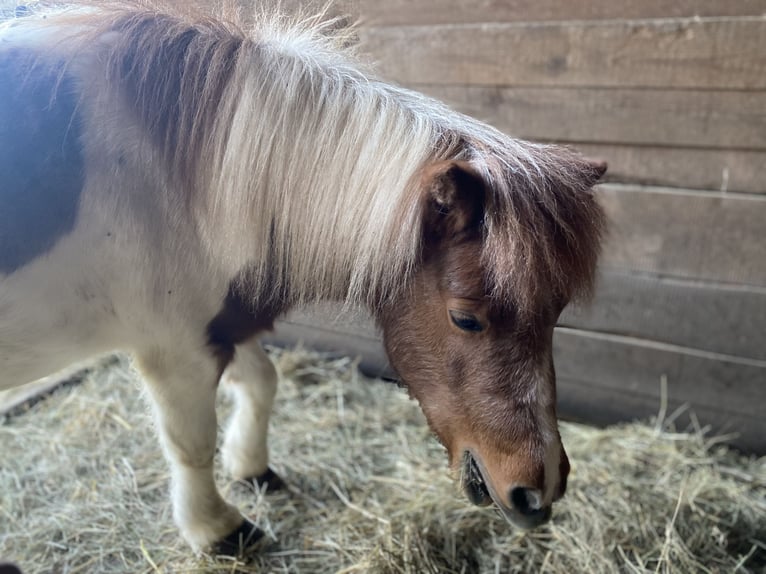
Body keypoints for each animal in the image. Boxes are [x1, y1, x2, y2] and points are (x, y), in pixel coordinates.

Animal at [1, 1, 608, 560]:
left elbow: (261, 383)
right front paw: (217, 528)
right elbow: (191, 444)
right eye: (466, 318)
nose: (539, 491)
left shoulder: (221, 323)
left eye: (555, 314)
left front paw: (252, 468)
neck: (176, 176)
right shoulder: (177, 350)